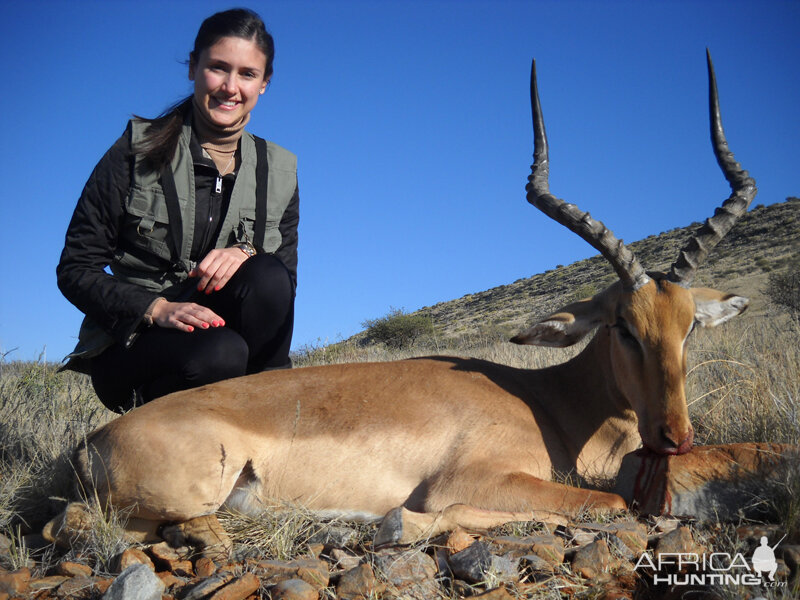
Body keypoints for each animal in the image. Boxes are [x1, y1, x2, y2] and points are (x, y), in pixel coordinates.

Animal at [45, 52, 756, 556]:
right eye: (623, 328)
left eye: (689, 328)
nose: (676, 437)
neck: (548, 405)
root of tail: (90, 441)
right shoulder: (471, 480)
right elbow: (604, 503)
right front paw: (398, 524)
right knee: (77, 528)